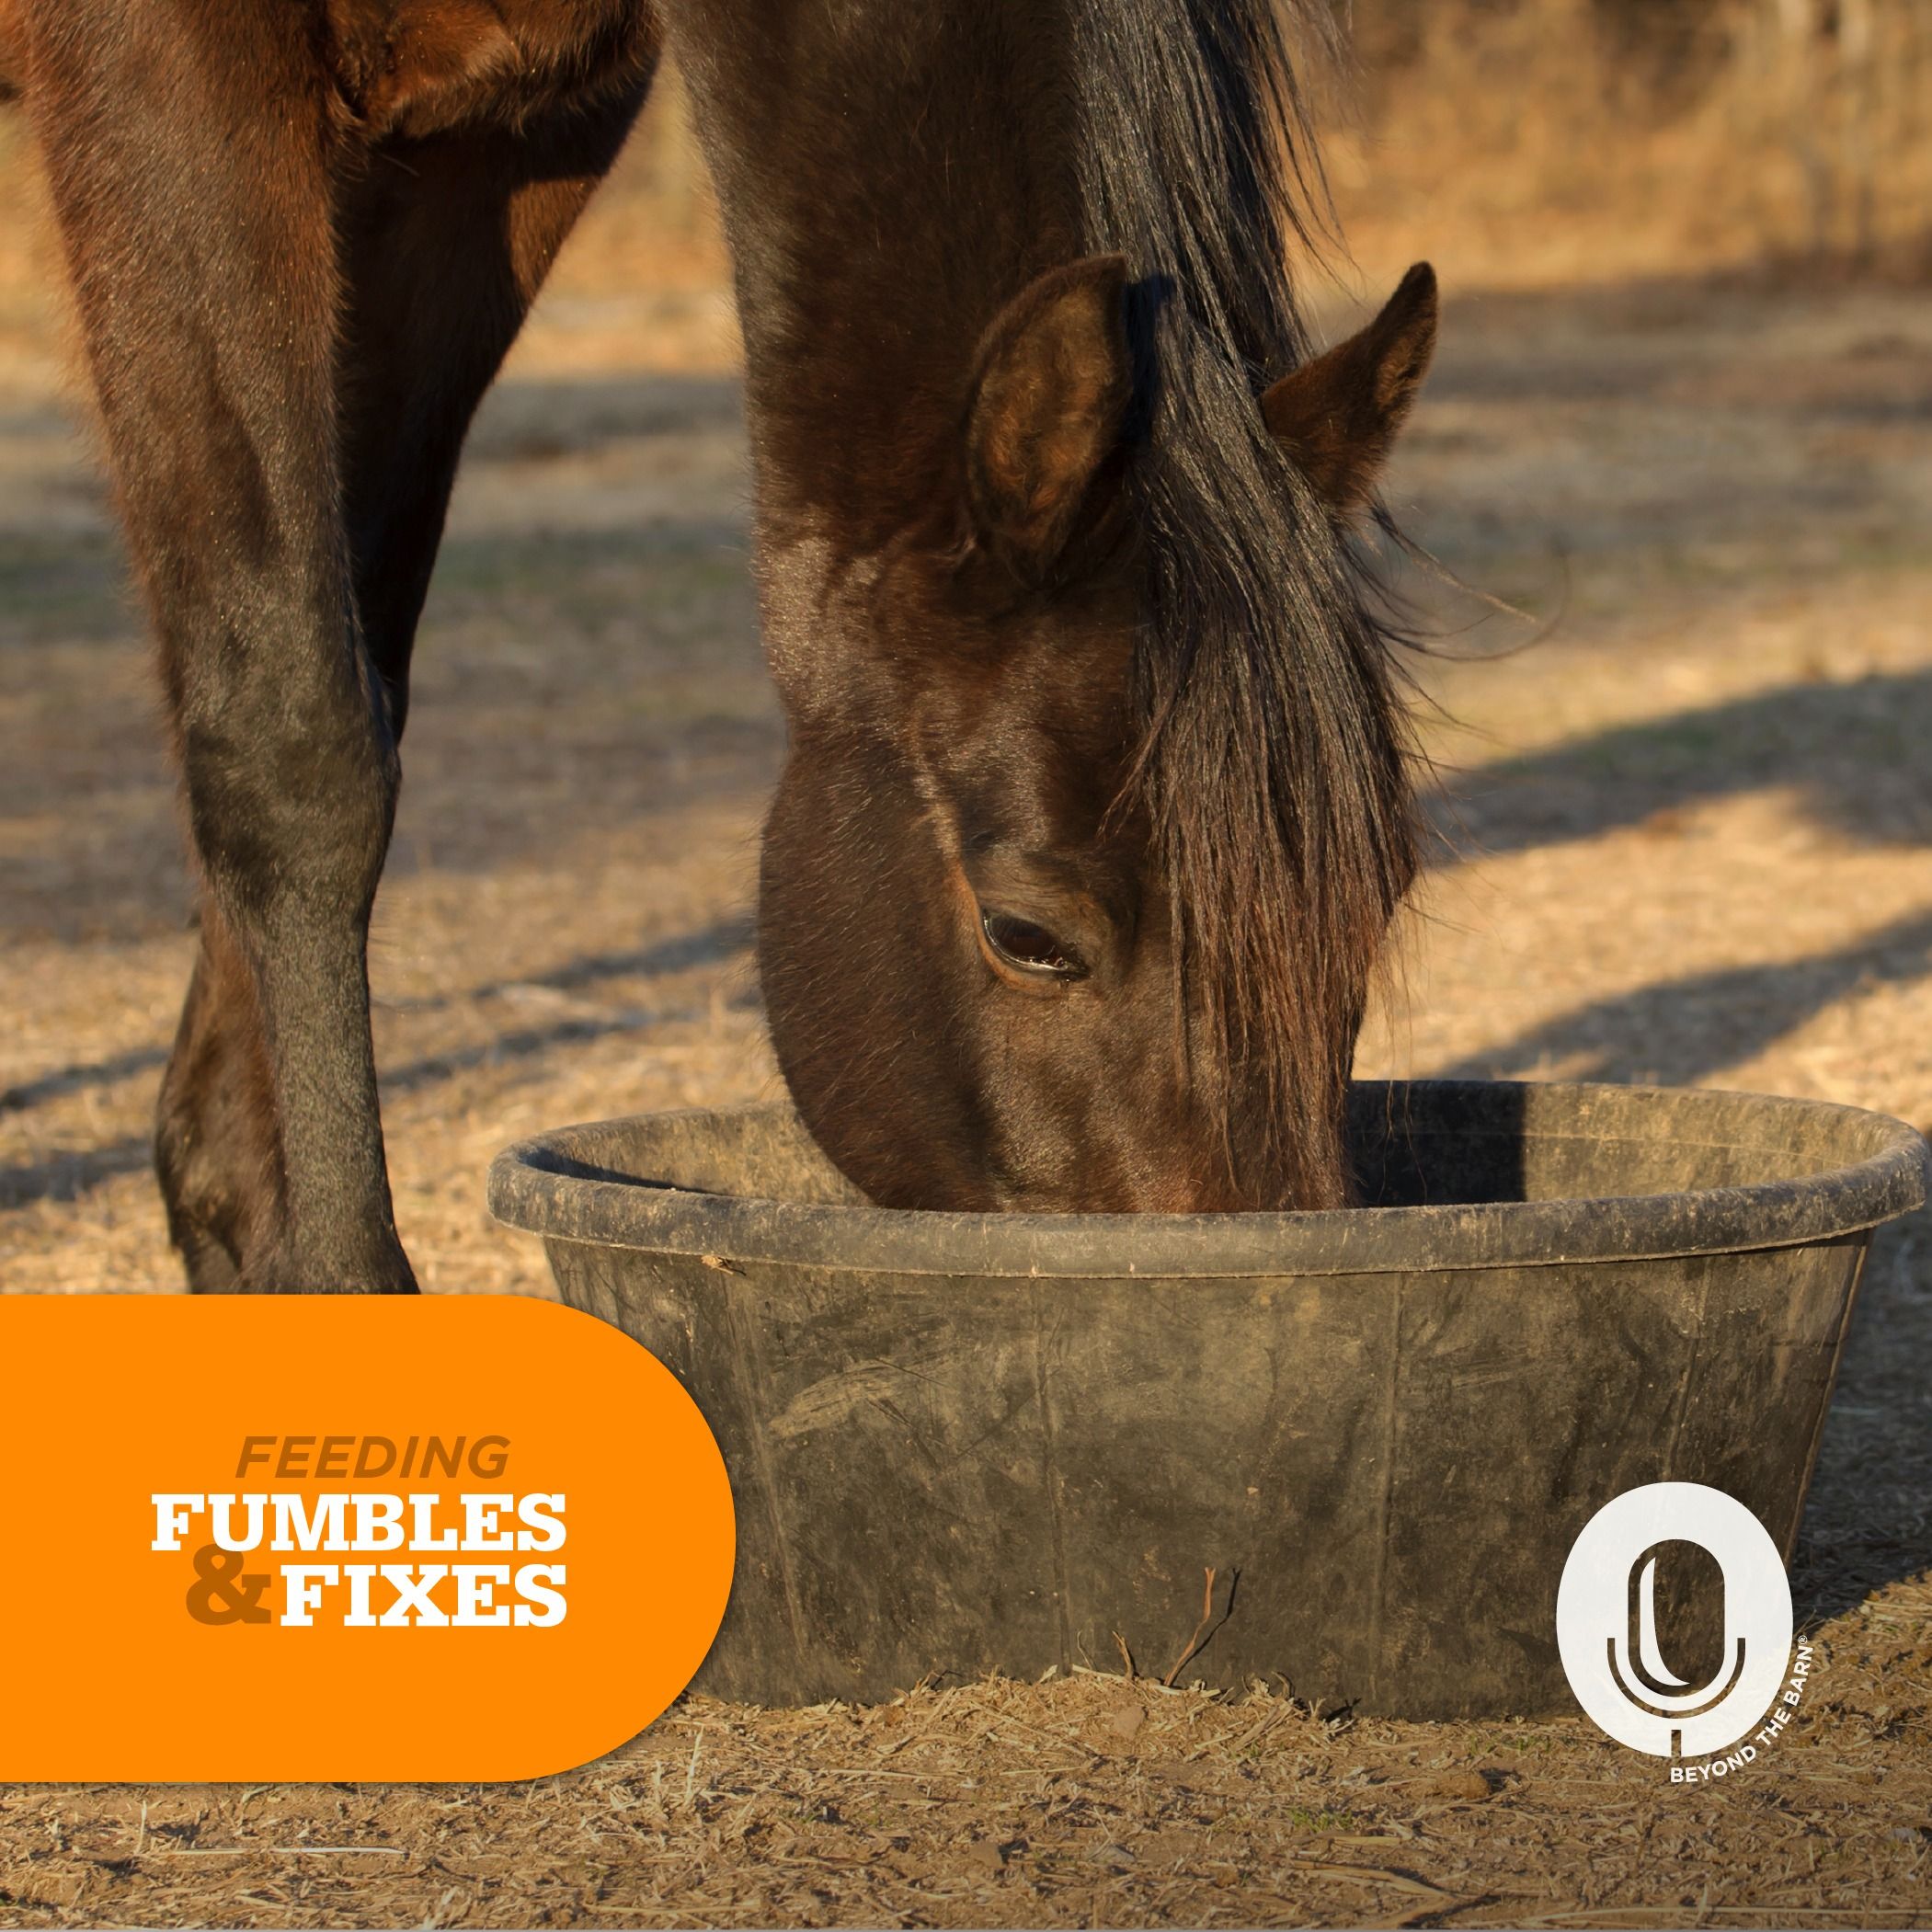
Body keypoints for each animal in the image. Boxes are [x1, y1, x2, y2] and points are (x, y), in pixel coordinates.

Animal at [1, 0, 1436, 1290]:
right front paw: (332, 1269)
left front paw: (241, 1215)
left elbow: (358, 646)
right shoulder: (170, 77)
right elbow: (295, 734)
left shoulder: (494, 138)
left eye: (1377, 896)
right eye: (1029, 936)